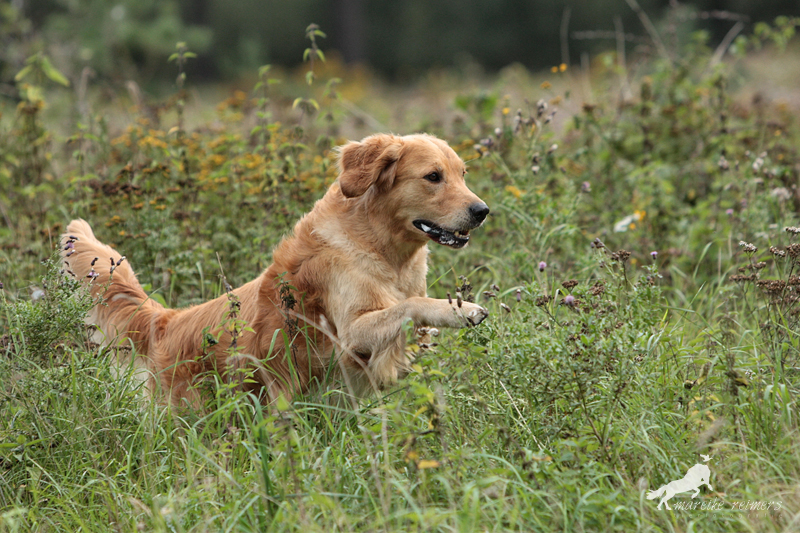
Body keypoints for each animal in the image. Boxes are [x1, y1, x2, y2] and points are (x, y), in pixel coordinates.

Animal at [61, 132, 488, 404]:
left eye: (463, 174)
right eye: (433, 176)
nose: (482, 210)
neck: (380, 247)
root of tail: (166, 321)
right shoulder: (352, 333)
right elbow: (412, 305)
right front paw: (461, 309)